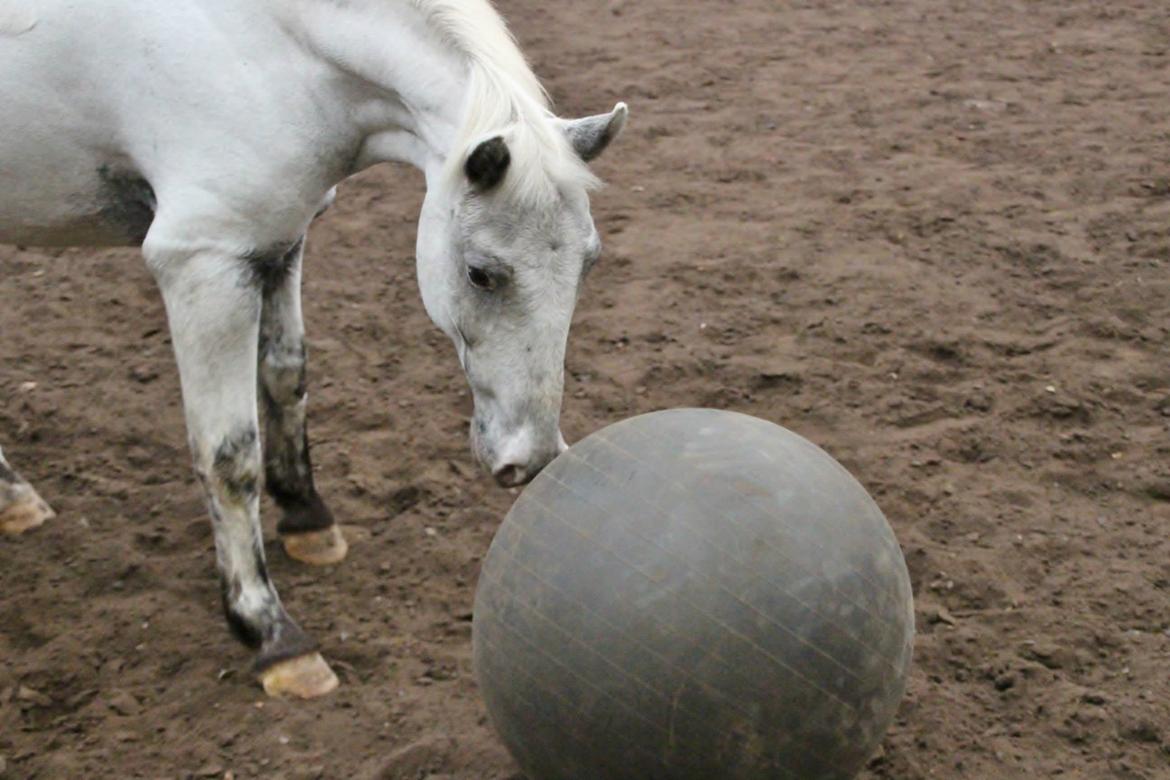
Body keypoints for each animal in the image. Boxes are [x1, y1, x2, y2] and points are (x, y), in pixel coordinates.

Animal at [0, 0, 631, 696]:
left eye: (589, 261)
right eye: (481, 273)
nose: (534, 459)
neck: (256, 41)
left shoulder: (278, 241)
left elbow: (284, 376)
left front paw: (306, 515)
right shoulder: (203, 264)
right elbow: (227, 456)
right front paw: (271, 633)